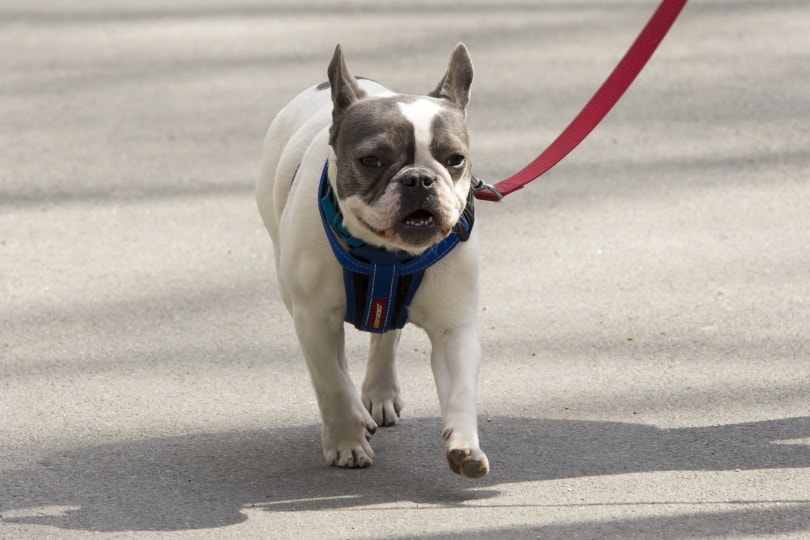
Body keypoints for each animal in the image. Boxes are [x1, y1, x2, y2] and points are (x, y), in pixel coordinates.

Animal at [256, 44, 486, 478]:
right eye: (372, 161)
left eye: (456, 159)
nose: (419, 179)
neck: (386, 256)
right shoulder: (313, 319)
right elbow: (331, 381)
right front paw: (347, 440)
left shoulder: (454, 328)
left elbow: (461, 389)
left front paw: (465, 445)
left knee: (386, 336)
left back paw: (380, 392)